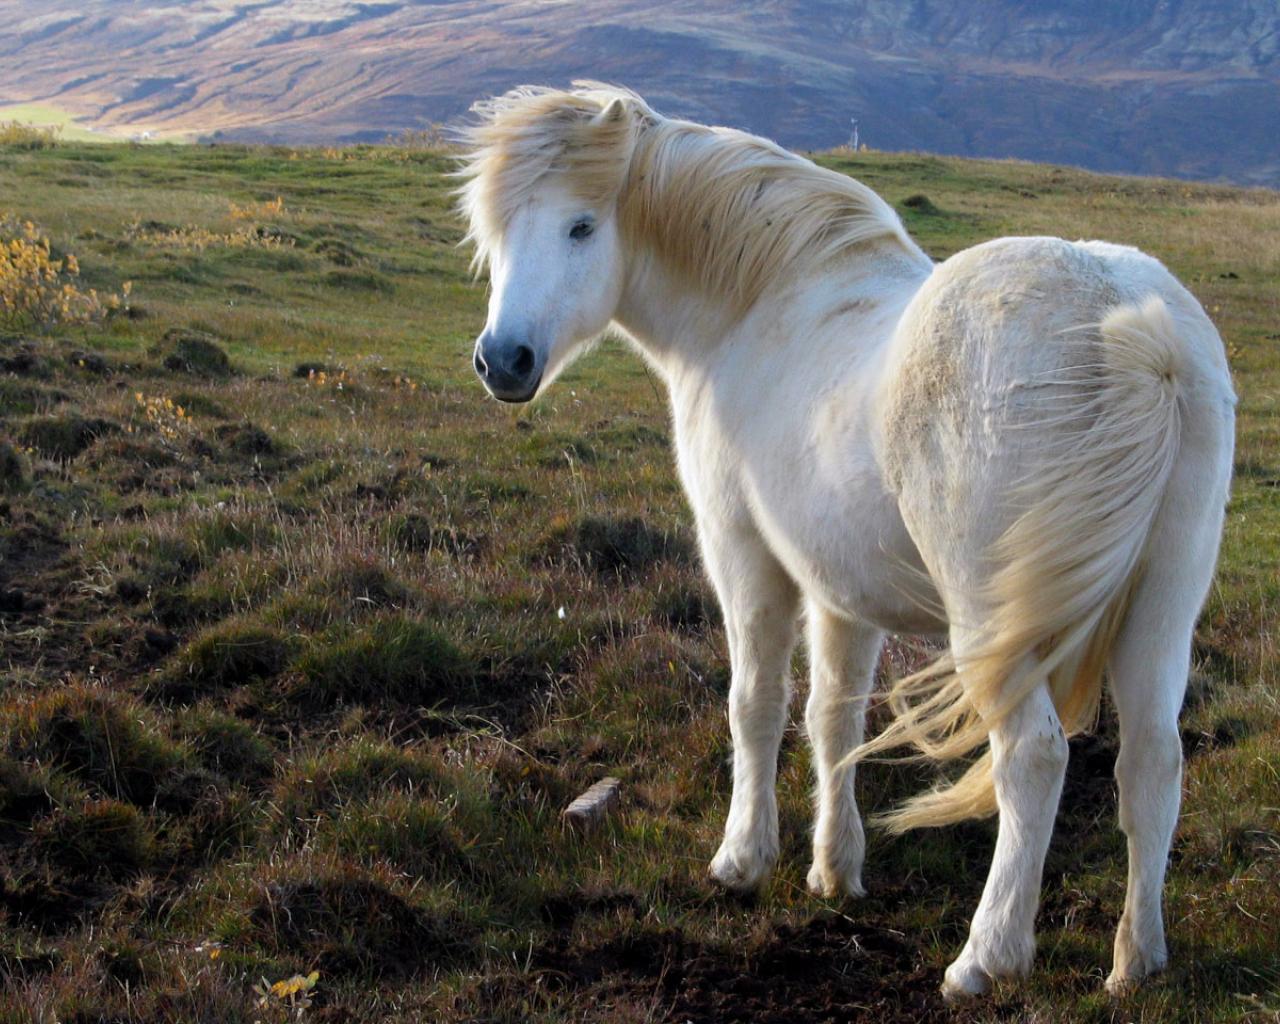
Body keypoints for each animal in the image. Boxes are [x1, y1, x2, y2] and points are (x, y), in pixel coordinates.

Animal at [456, 82, 1236, 997]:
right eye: (499, 231)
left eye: (580, 226)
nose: (503, 361)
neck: (763, 306)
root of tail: (1135, 325)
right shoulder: (841, 589)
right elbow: (834, 718)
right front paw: (834, 870)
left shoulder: (744, 555)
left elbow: (755, 704)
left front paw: (742, 860)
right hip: (1160, 611)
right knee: (1152, 763)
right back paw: (1137, 961)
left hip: (991, 627)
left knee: (1034, 760)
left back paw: (985, 958)